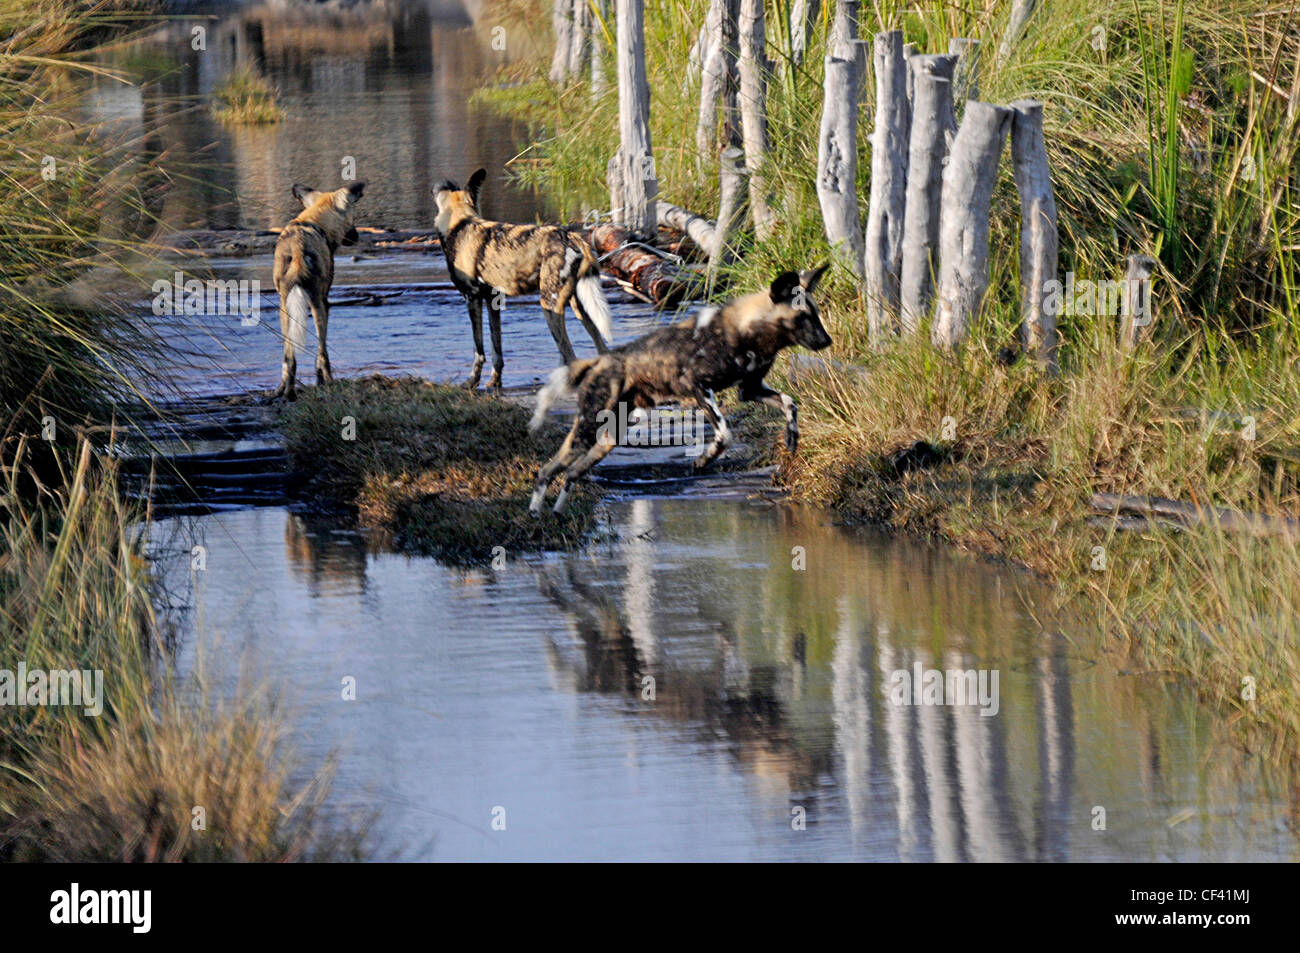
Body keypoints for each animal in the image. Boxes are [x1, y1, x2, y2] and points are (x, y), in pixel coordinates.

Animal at [434, 167, 611, 387]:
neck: (460, 222)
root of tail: (571, 237)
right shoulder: (492, 301)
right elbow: (496, 349)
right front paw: (494, 382)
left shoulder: (472, 297)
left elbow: (478, 349)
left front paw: (471, 382)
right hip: (580, 306)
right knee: (602, 349)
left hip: (549, 306)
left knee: (569, 354)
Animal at [527, 263, 832, 512]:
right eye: (803, 317)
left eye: (816, 314)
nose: (827, 341)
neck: (751, 332)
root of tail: (600, 360)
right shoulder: (699, 388)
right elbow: (724, 435)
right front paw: (703, 461)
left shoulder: (750, 389)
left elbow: (790, 402)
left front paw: (792, 438)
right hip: (587, 428)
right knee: (546, 471)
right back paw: (535, 516)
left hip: (608, 439)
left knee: (570, 473)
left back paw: (554, 514)